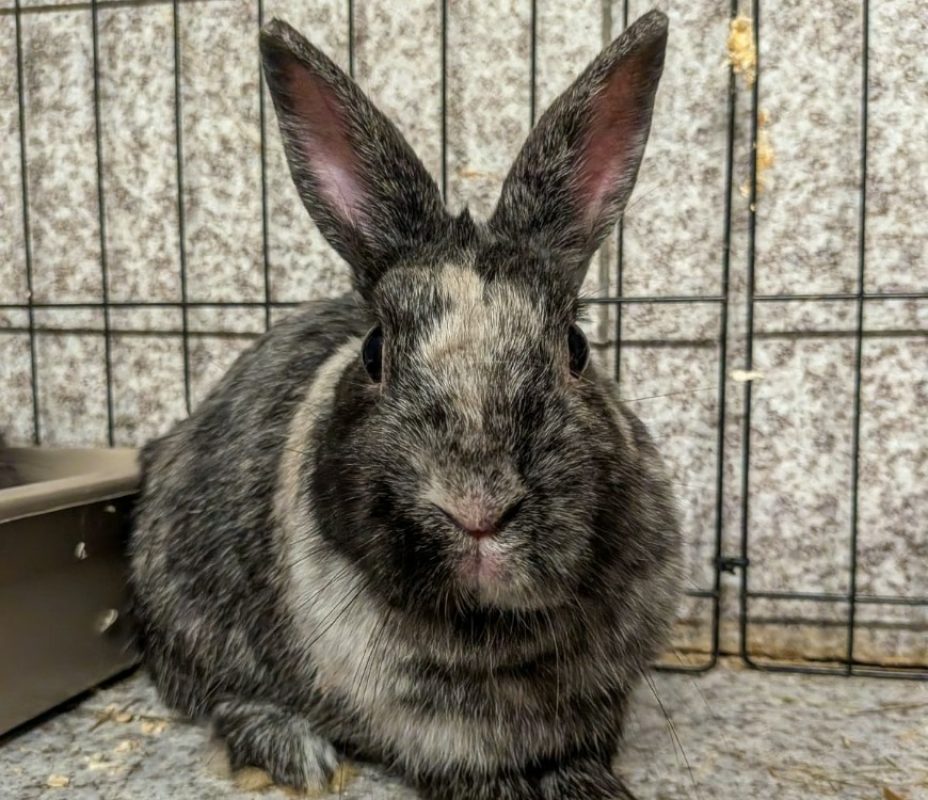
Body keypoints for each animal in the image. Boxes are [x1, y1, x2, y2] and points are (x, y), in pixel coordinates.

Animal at [129, 9, 681, 800]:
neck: (490, 632)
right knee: (214, 693)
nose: (476, 507)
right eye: (374, 352)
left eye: (576, 348)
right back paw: (291, 748)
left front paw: (589, 784)